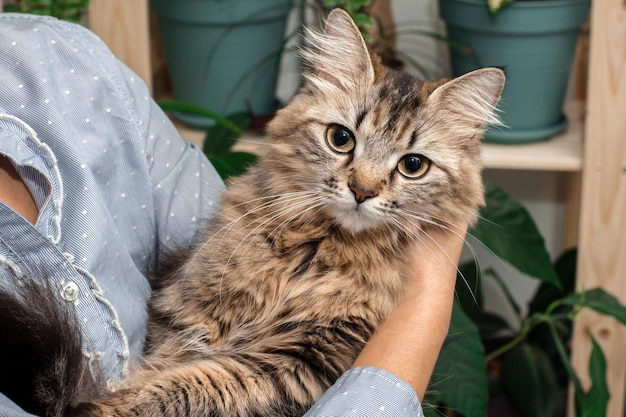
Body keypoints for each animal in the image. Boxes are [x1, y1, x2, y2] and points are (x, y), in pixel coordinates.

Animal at [0, 8, 502, 416]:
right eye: (341, 139)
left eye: (412, 166)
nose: (362, 190)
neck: (316, 250)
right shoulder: (189, 311)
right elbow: (174, 365)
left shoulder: (306, 359)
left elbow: (194, 386)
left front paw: (104, 406)